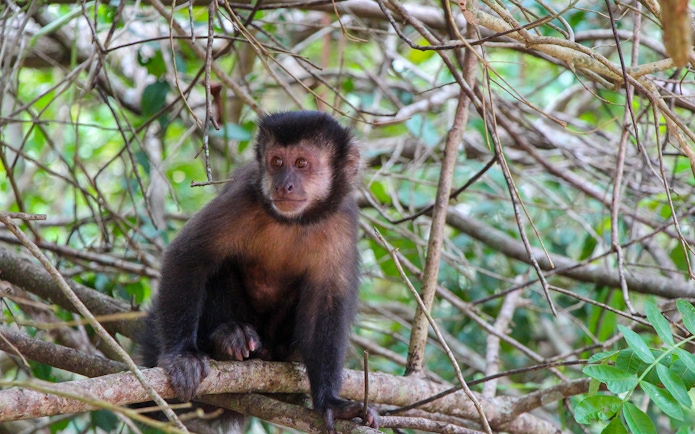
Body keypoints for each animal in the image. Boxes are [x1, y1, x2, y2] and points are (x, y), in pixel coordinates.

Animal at [138, 110, 377, 433]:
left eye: (301, 163)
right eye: (276, 162)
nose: (283, 185)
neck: (294, 222)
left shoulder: (342, 220)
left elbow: (327, 301)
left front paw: (329, 401)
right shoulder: (242, 198)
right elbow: (188, 257)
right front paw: (182, 356)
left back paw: (273, 353)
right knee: (220, 268)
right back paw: (226, 341)